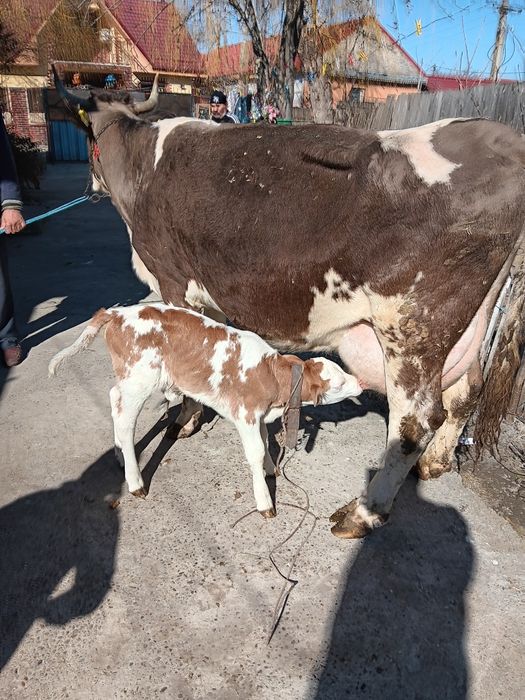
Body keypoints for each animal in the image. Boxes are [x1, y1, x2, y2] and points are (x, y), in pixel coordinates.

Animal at [48, 303, 363, 515]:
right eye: (337, 383)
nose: (359, 382)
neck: (271, 374)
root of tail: (117, 313)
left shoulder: (260, 416)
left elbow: (265, 443)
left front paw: (270, 470)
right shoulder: (246, 414)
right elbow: (256, 452)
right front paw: (264, 500)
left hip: (128, 379)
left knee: (114, 400)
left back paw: (119, 456)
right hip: (140, 379)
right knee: (125, 420)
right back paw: (135, 481)